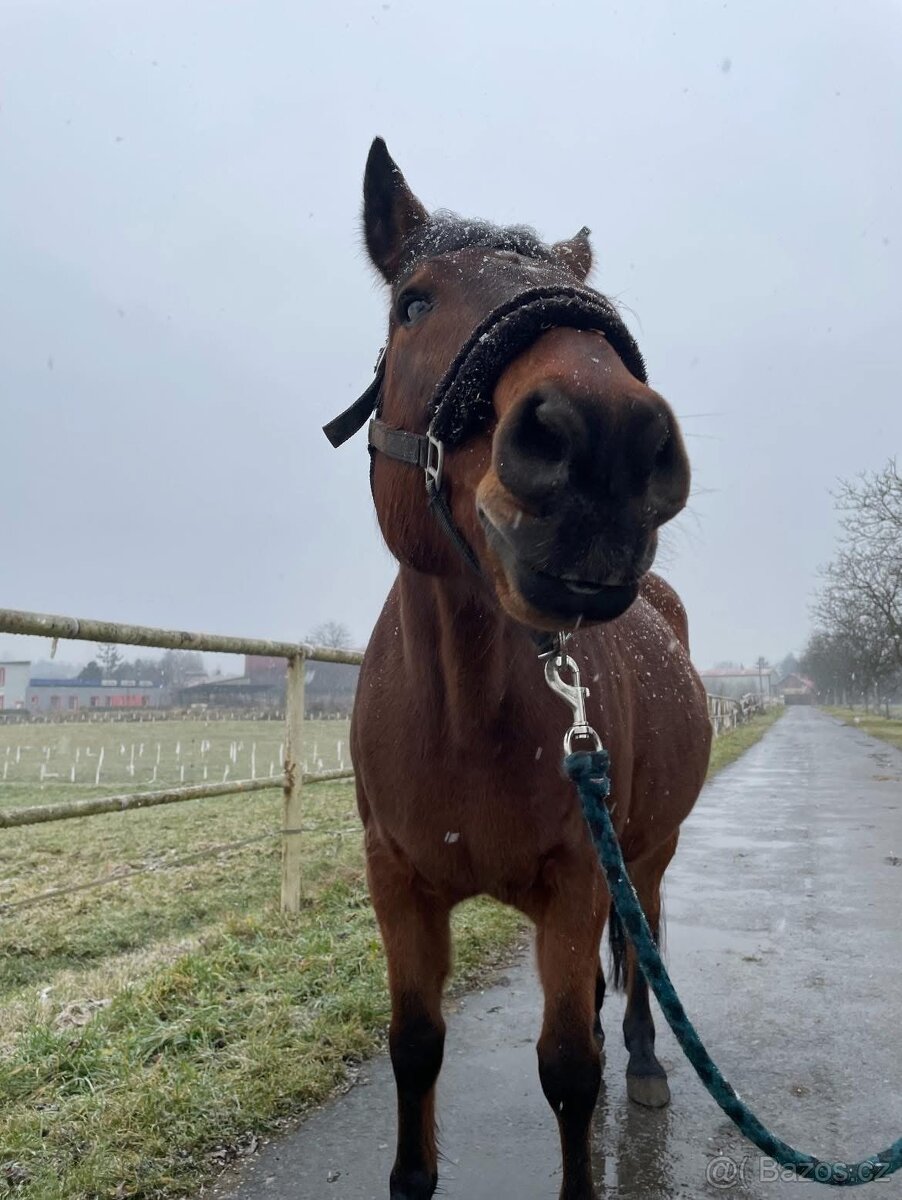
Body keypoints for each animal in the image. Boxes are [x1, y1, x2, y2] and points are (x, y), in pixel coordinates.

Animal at [327, 138, 712, 1200]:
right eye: (414, 304)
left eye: (597, 310)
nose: (606, 438)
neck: (465, 717)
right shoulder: (398, 884)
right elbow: (416, 1047)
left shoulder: (581, 878)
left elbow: (569, 1073)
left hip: (645, 854)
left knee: (642, 951)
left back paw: (647, 1063)